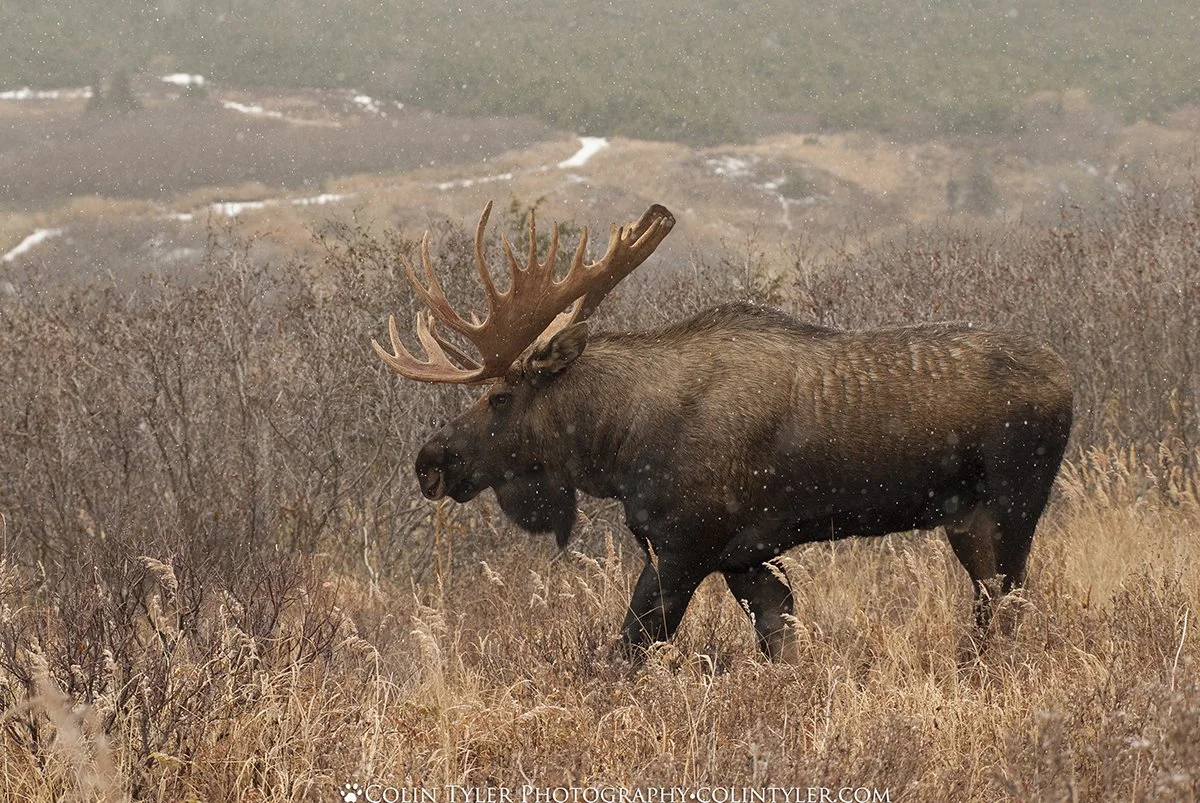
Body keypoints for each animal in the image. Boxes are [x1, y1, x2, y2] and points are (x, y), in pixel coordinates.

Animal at [373, 202, 1073, 661]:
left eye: (498, 397)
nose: (430, 460)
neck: (618, 445)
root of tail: (1070, 380)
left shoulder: (684, 548)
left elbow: (625, 652)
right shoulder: (745, 556)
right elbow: (781, 641)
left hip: (1013, 505)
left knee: (1010, 605)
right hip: (966, 520)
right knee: (990, 609)